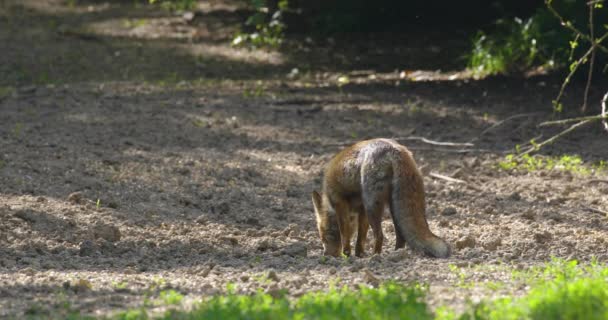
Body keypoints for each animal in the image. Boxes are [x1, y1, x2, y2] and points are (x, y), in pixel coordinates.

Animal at [314, 138, 452, 258]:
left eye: (326, 235)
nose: (326, 255)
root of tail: (393, 148)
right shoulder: (361, 209)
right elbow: (361, 238)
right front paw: (359, 255)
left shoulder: (340, 203)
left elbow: (345, 236)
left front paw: (347, 254)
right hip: (392, 207)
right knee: (400, 236)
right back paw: (396, 253)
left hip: (372, 206)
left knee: (380, 235)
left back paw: (376, 256)